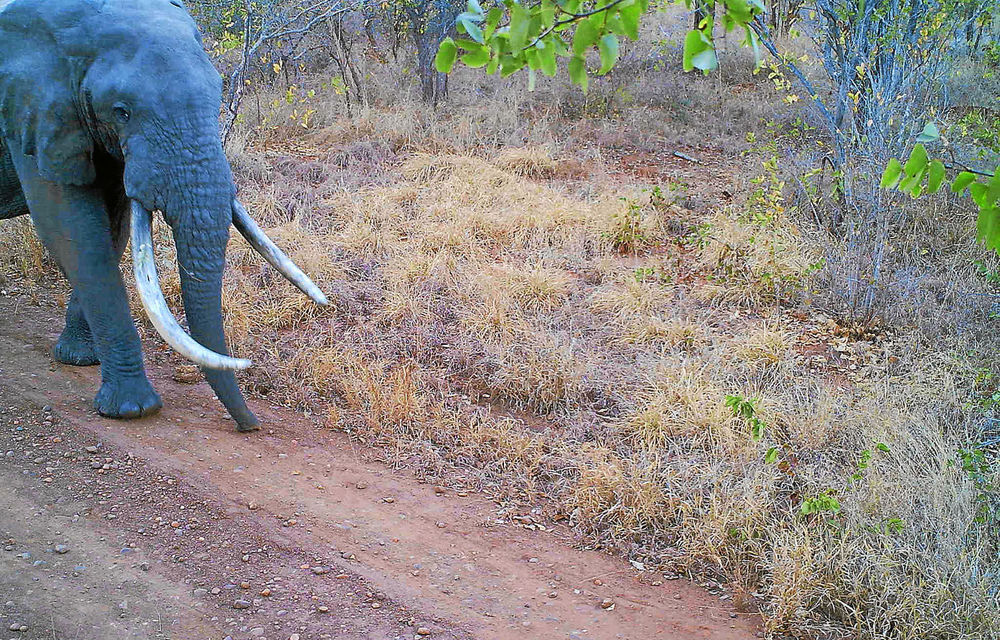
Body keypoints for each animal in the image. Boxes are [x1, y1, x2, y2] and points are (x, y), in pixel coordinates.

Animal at [0, 0, 328, 432]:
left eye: (218, 92)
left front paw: (80, 359)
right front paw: (132, 410)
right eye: (121, 112)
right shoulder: (32, 111)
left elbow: (114, 225)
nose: (251, 425)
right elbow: (71, 230)